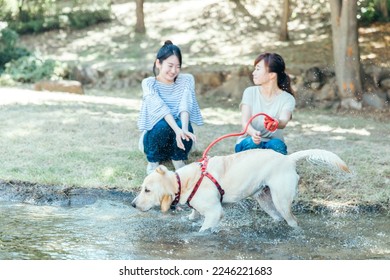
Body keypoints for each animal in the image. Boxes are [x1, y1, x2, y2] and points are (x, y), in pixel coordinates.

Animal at [132, 149, 350, 232]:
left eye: (147, 190)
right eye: (142, 188)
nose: (132, 204)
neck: (184, 182)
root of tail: (288, 159)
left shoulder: (214, 212)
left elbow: (204, 229)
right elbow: (193, 214)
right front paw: (190, 218)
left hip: (281, 200)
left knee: (293, 221)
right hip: (265, 199)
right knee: (277, 218)